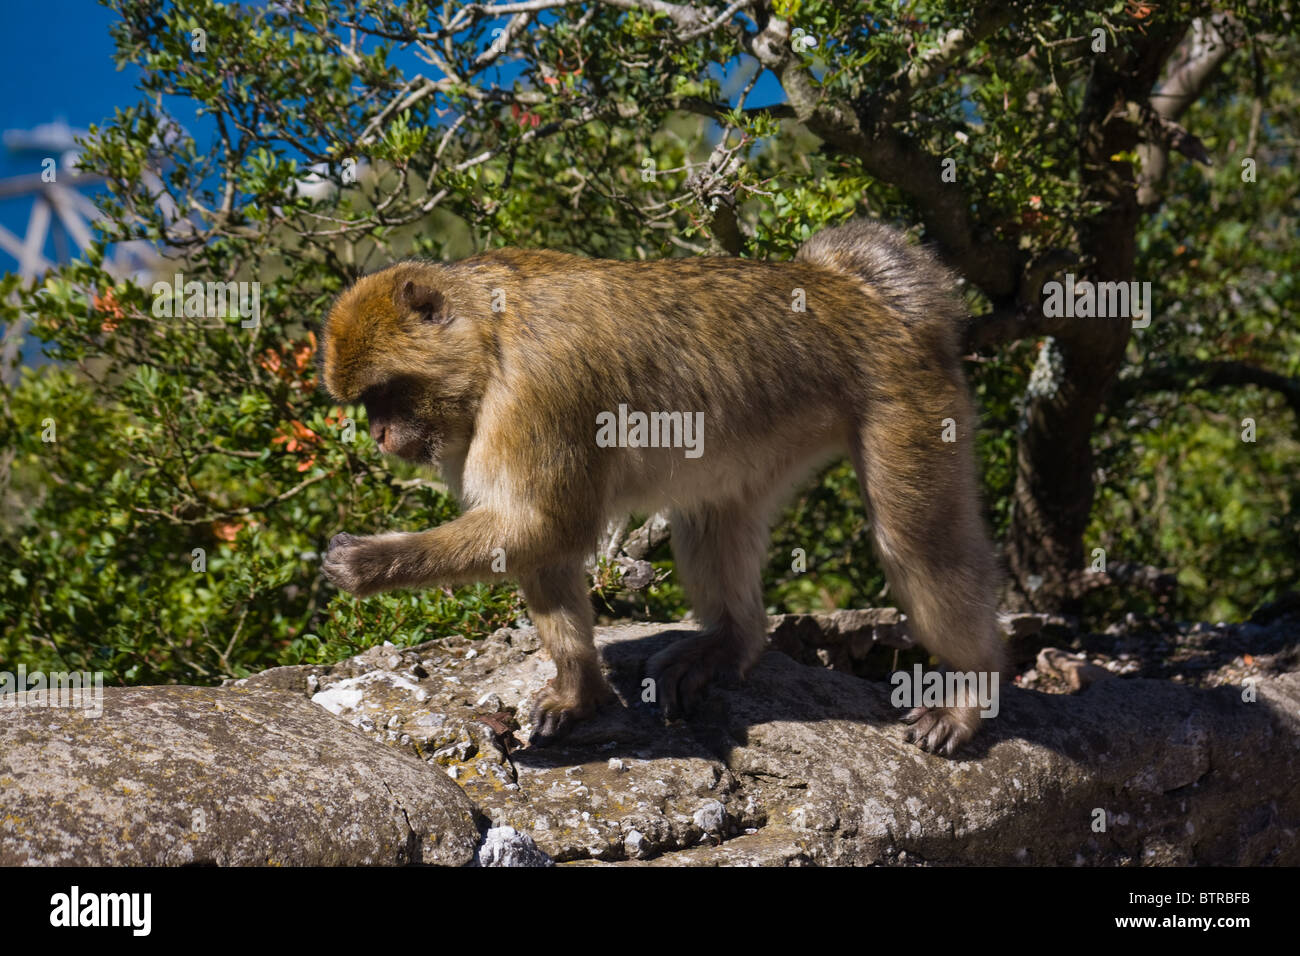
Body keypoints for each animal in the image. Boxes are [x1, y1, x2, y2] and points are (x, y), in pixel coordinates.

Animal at [318, 220, 1007, 755]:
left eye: (385, 392)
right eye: (367, 402)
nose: (379, 434)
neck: (490, 341)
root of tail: (861, 292)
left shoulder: (537, 393)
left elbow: (545, 525)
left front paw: (368, 561)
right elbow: (543, 543)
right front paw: (580, 692)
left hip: (906, 395)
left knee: (918, 546)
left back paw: (970, 691)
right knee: (712, 512)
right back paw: (729, 644)